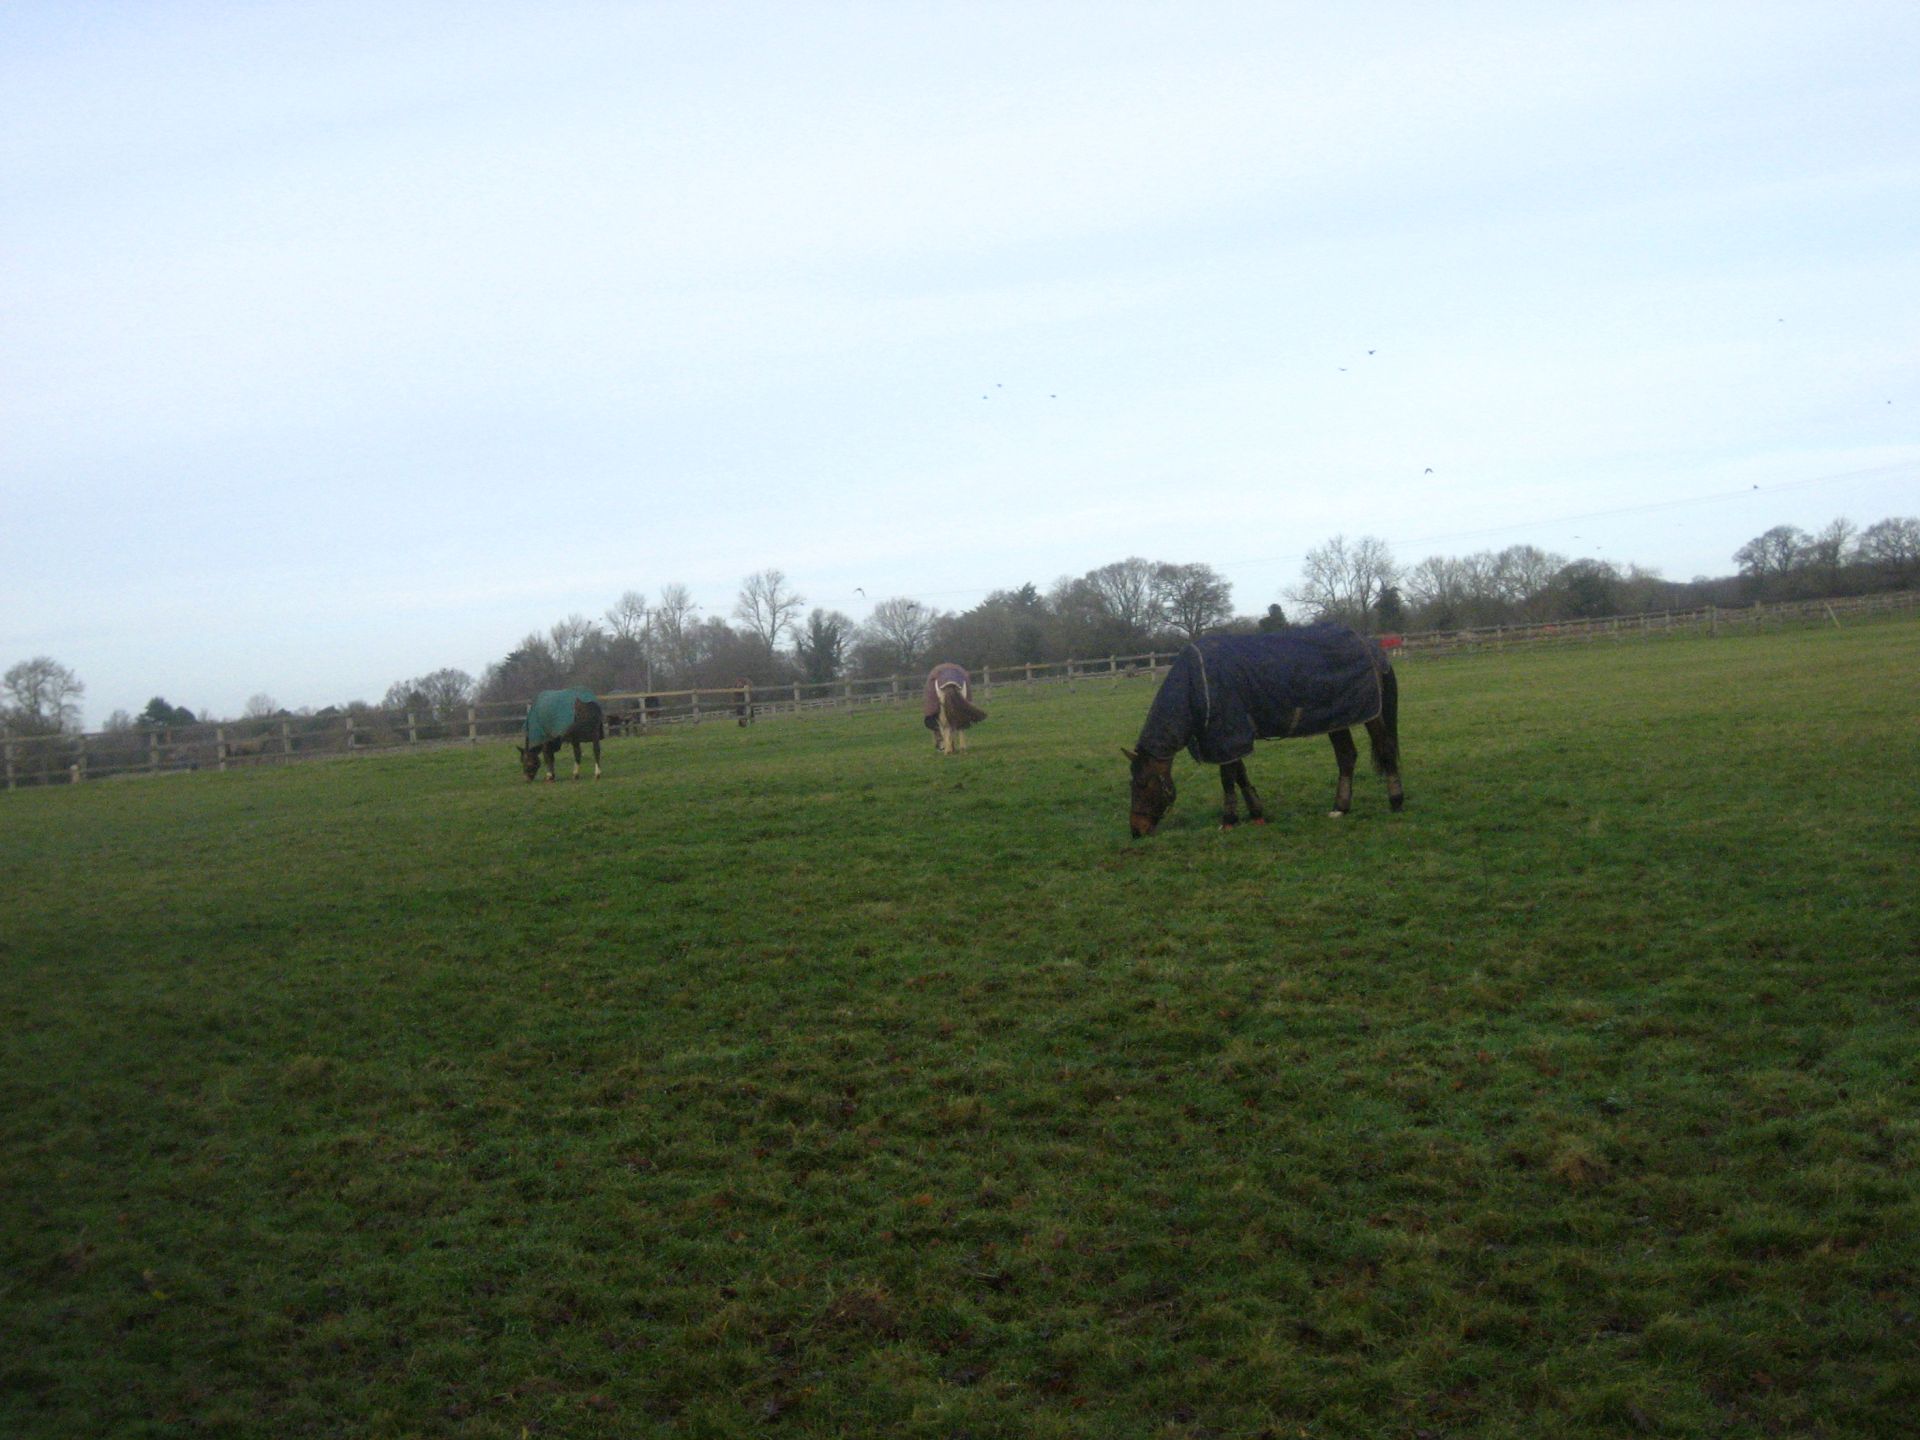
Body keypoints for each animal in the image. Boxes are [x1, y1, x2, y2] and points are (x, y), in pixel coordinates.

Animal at [1124, 623, 1403, 838]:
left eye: (1141, 784)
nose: (1136, 830)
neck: (1196, 685)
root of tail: (1373, 649)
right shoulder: (1228, 739)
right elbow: (1240, 775)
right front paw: (1256, 814)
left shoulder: (1228, 734)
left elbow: (1227, 778)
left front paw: (1229, 820)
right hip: (1338, 718)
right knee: (1346, 757)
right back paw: (1340, 808)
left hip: (1370, 715)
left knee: (1385, 748)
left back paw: (1396, 801)